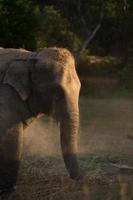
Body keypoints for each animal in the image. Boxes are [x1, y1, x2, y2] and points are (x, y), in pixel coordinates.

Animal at [0, 47, 81, 195]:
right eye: (57, 92)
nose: (81, 178)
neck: (31, 56)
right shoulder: (5, 94)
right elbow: (11, 137)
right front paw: (7, 190)